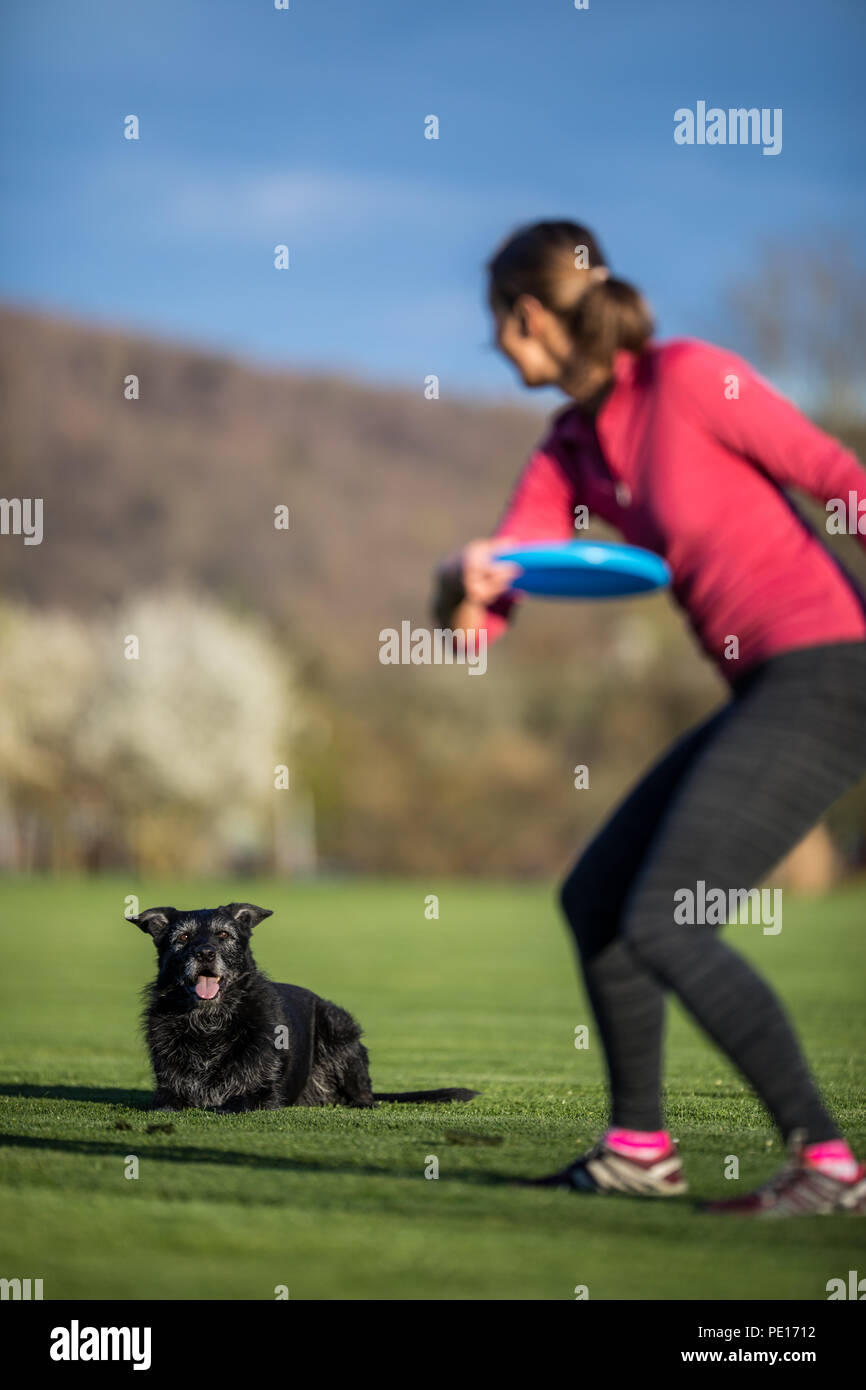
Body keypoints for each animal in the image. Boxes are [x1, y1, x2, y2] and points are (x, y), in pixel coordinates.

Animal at [132, 906, 478, 1112]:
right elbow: (171, 1103)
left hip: (338, 1029)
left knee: (364, 1096)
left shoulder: (261, 1094)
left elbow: (234, 1103)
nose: (205, 953)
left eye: (223, 934)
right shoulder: (167, 1093)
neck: (210, 1024)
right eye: (183, 937)